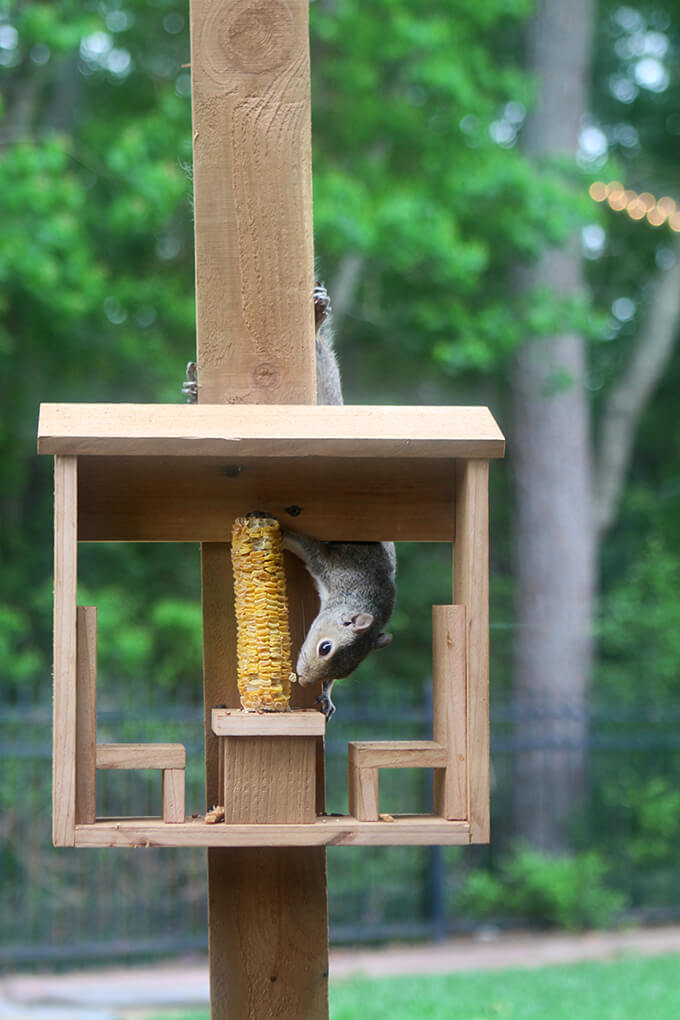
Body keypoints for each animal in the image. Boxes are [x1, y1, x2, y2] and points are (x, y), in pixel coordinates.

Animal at [183, 283, 395, 722]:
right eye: (325, 647)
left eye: (345, 671)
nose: (305, 678)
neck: (369, 593)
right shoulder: (332, 566)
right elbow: (305, 544)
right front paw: (275, 525)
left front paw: (327, 699)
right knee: (319, 349)